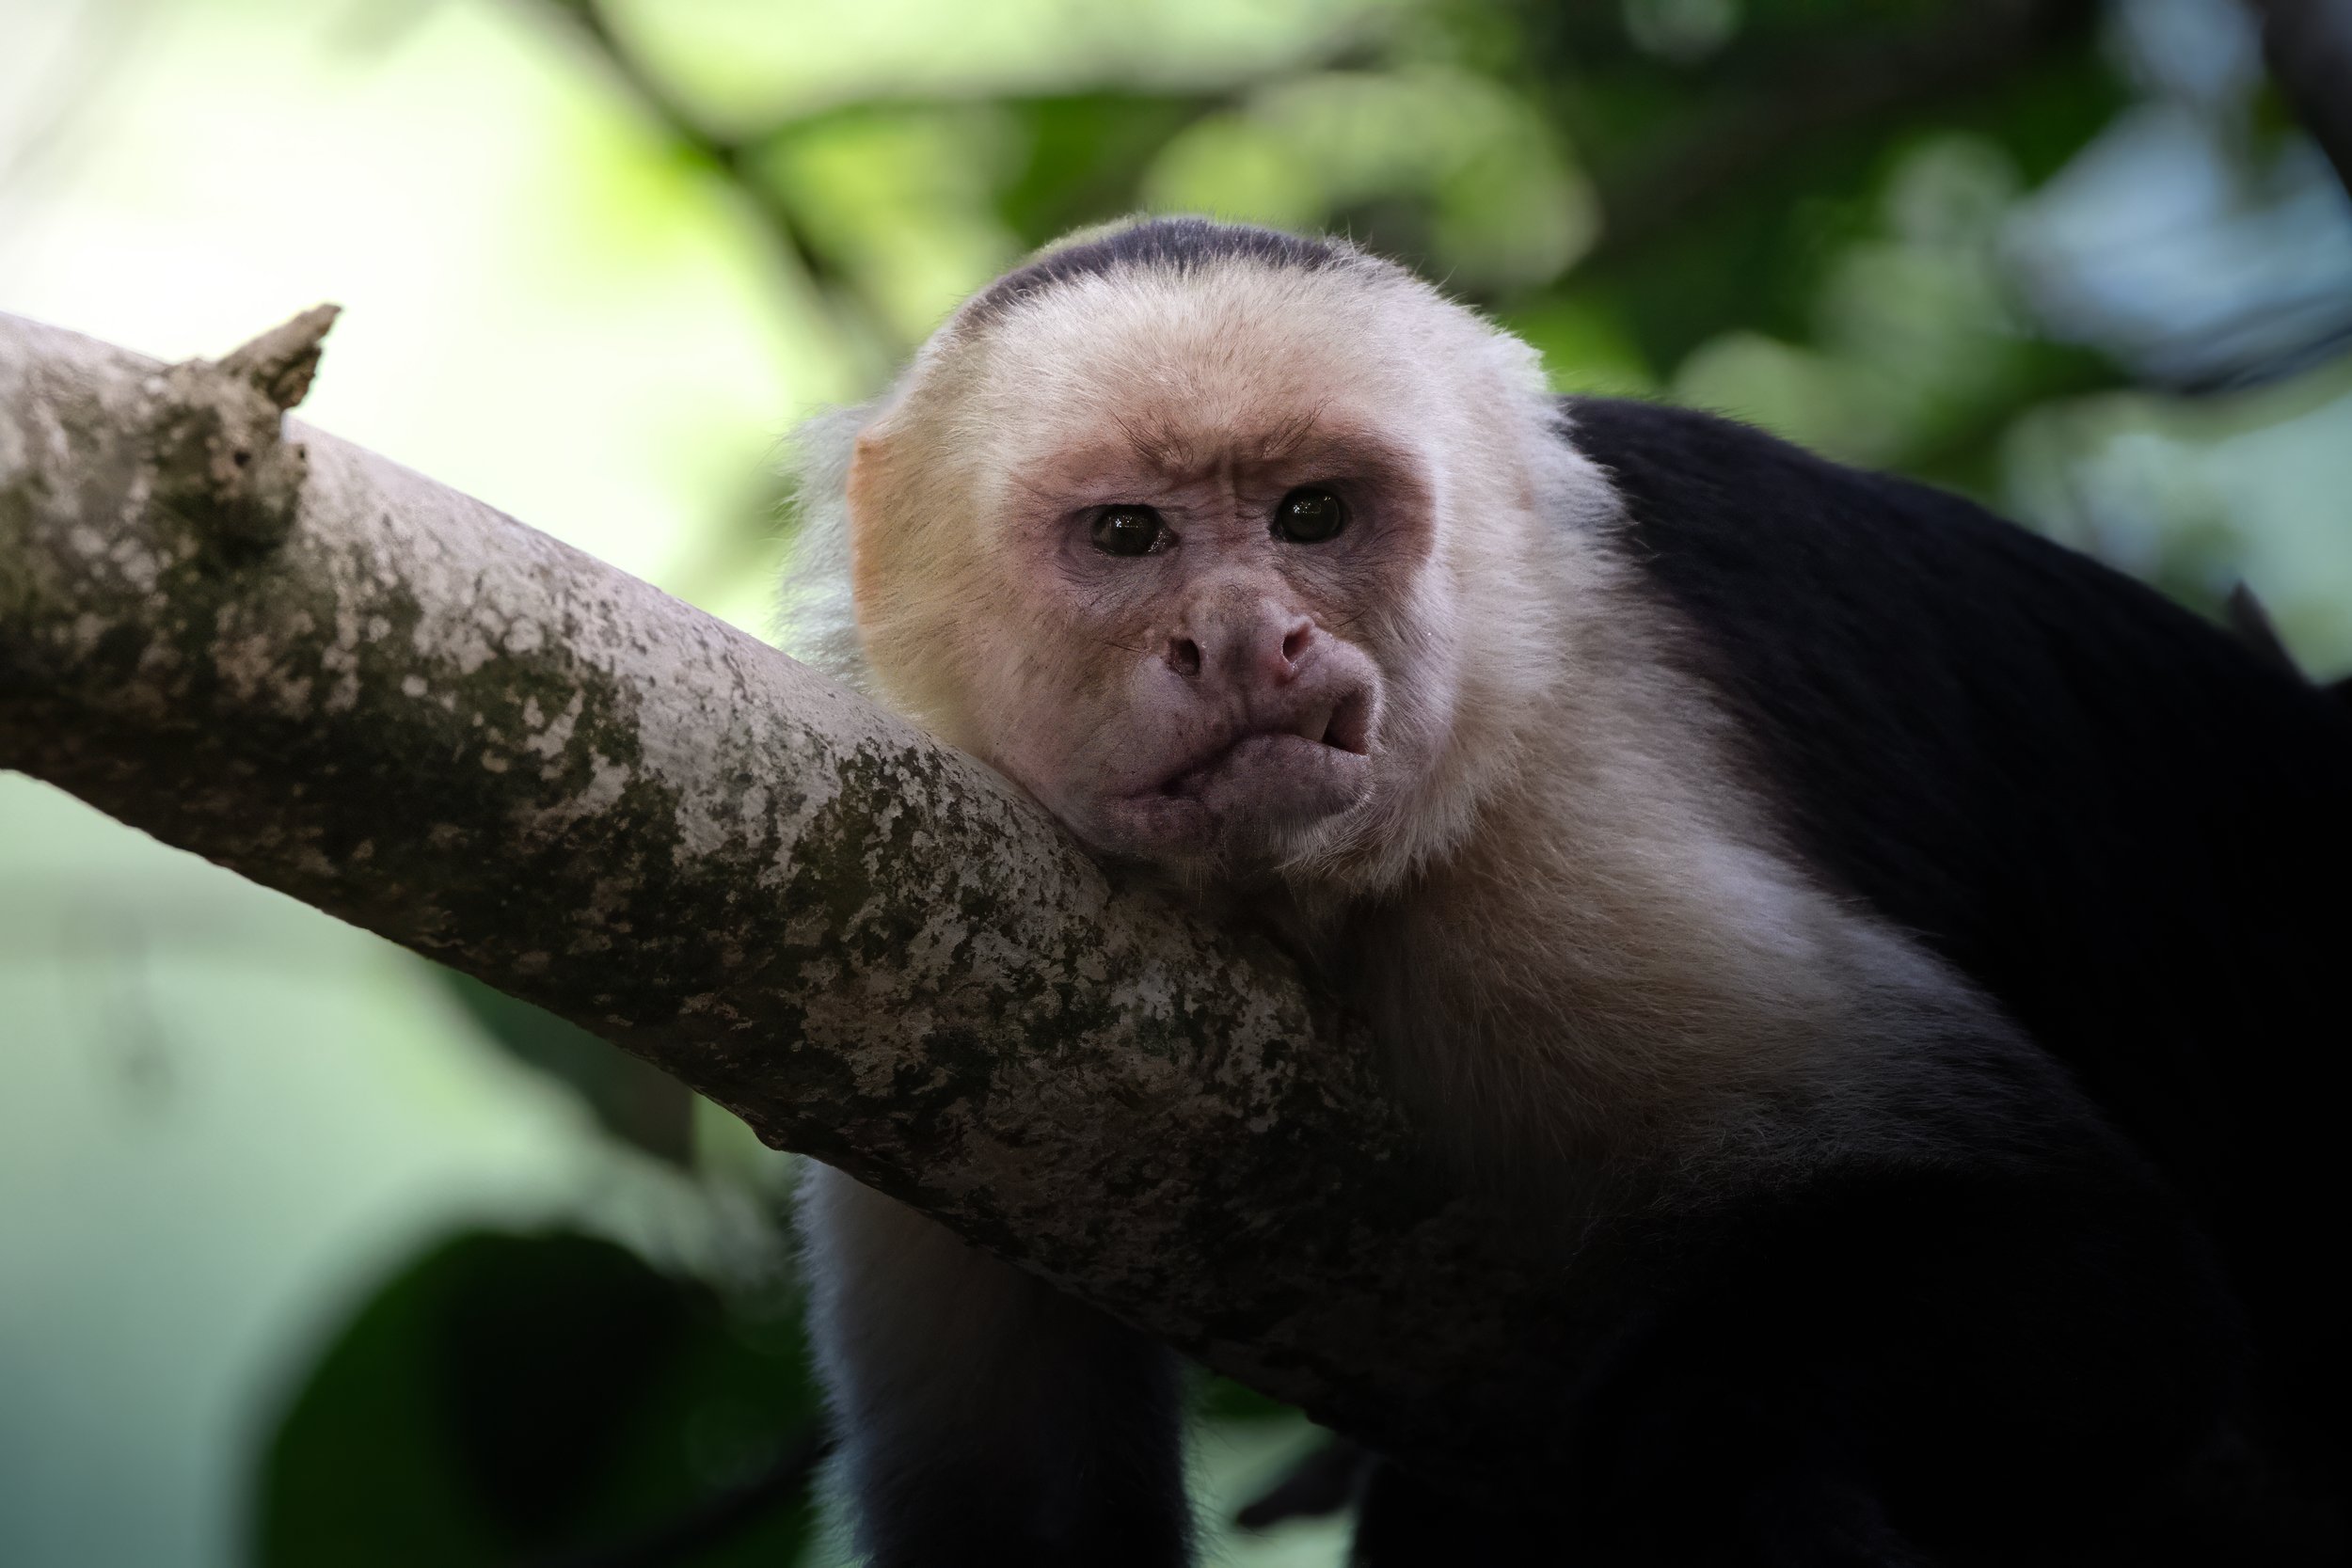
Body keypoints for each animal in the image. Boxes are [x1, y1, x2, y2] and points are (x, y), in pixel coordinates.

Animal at [777, 216, 2352, 1566]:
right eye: (1127, 535)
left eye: (1312, 515)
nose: (1245, 638)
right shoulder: (936, 925)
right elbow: (1002, 1508)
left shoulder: (1556, 823)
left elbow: (2119, 1281)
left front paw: (1710, 1454)